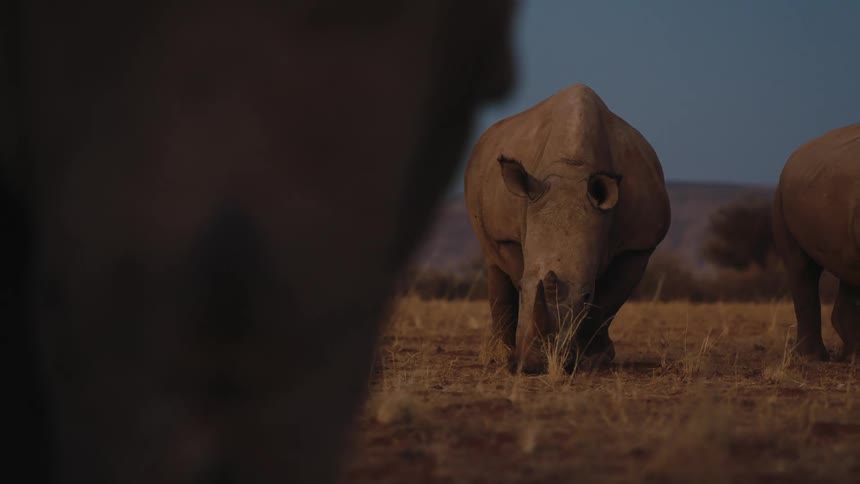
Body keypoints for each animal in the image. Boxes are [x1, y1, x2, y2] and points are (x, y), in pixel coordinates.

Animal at [464, 84, 670, 374]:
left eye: (586, 294)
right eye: (525, 288)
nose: (536, 363)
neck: (572, 172)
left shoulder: (638, 246)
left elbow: (606, 303)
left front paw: (593, 360)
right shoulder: (508, 236)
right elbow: (516, 272)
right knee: (493, 260)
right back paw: (497, 355)